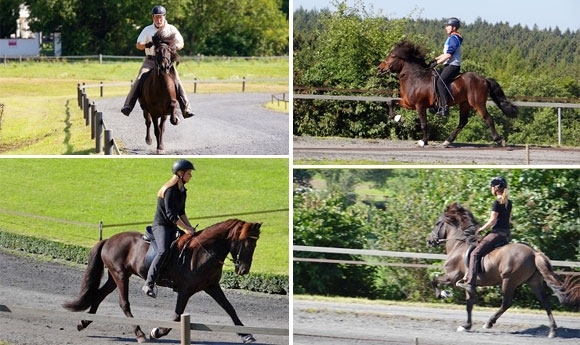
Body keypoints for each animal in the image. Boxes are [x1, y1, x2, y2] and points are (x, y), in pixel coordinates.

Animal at [63, 219, 260, 342]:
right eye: (247, 243)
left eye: (255, 244)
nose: (243, 270)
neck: (203, 252)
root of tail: (108, 239)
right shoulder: (185, 290)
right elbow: (176, 317)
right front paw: (156, 331)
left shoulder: (211, 286)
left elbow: (230, 309)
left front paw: (246, 335)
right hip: (120, 275)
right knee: (124, 304)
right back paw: (140, 334)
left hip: (115, 276)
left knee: (98, 295)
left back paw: (84, 322)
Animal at [378, 40, 520, 146]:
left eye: (392, 56)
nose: (379, 68)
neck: (415, 77)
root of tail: (483, 79)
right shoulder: (408, 103)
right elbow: (390, 102)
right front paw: (397, 118)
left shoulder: (420, 105)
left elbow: (423, 124)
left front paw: (423, 141)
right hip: (464, 104)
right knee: (462, 122)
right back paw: (447, 141)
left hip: (478, 103)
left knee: (488, 118)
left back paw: (499, 140)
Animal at [426, 202, 580, 336]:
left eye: (437, 224)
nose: (429, 240)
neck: (459, 244)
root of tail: (534, 252)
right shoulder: (468, 283)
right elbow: (469, 304)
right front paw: (466, 326)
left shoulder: (452, 277)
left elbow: (434, 280)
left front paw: (441, 295)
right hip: (534, 282)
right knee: (545, 302)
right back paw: (553, 330)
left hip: (508, 280)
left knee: (506, 303)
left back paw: (489, 322)